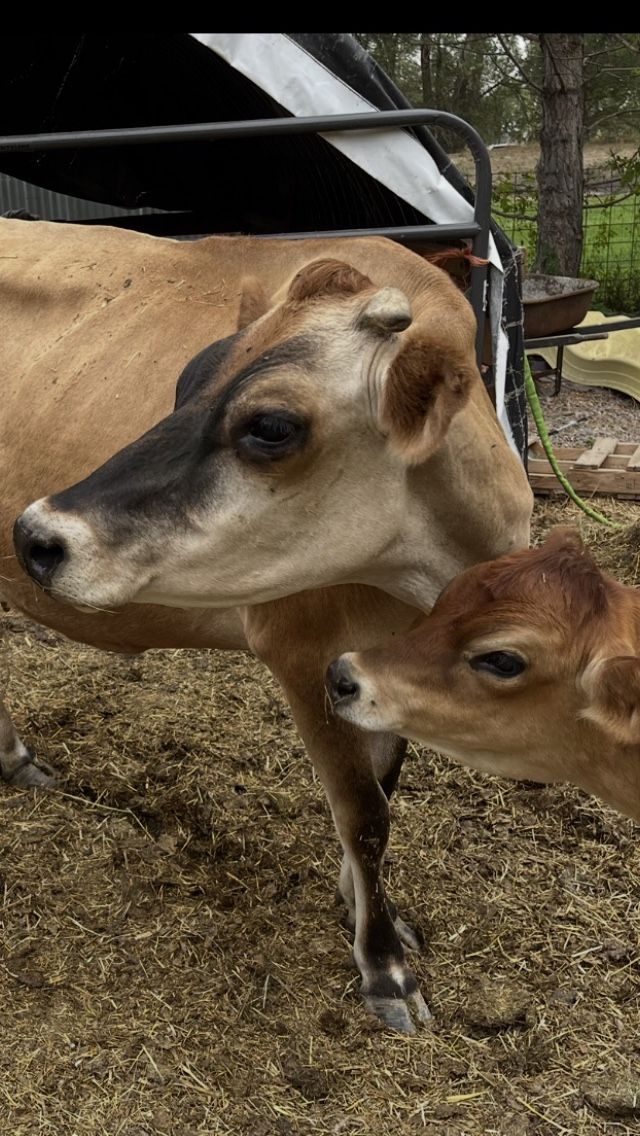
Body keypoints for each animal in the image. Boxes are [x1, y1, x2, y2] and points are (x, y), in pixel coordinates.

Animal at [1, 218, 532, 1032]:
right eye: (187, 380)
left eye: (272, 425)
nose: (35, 535)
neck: (428, 574)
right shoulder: (303, 653)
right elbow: (364, 813)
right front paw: (385, 969)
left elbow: (385, 788)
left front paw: (362, 908)